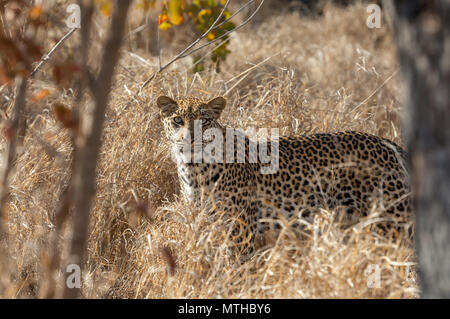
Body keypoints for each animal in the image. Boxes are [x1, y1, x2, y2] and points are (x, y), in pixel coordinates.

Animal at [156, 95, 414, 252]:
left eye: (205, 121)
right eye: (177, 120)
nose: (189, 138)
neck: (193, 168)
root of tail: (386, 142)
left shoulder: (241, 230)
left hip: (394, 220)